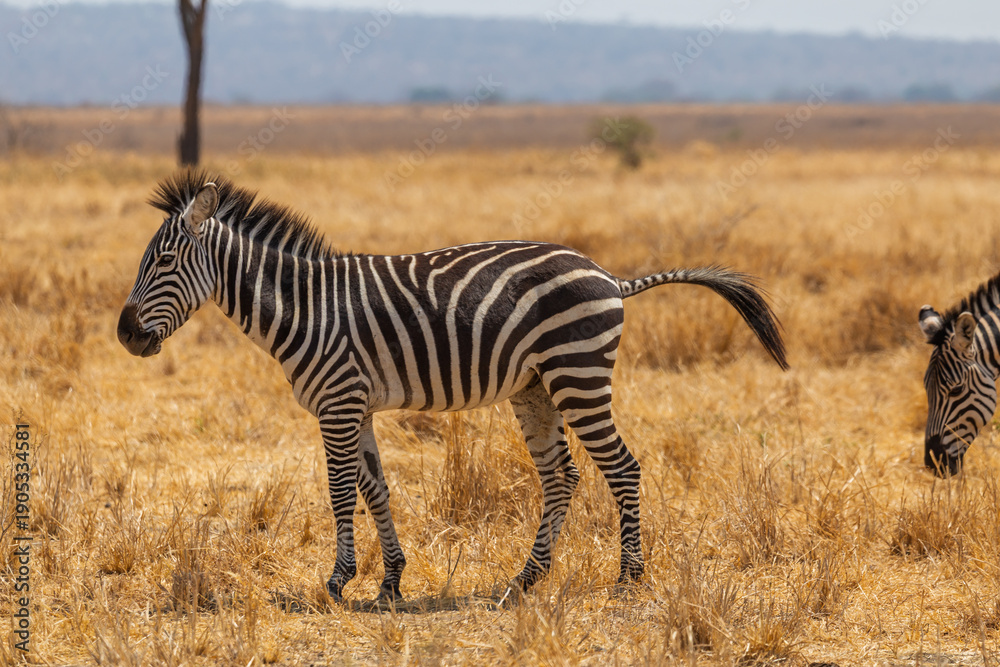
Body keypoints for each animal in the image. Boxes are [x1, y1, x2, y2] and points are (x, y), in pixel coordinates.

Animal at [118, 171, 788, 603]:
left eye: (165, 262)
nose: (125, 335)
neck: (307, 307)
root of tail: (608, 275)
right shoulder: (357, 407)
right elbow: (376, 489)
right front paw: (390, 580)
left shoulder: (338, 403)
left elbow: (339, 492)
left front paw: (338, 581)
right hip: (536, 387)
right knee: (562, 475)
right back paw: (526, 580)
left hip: (578, 374)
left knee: (622, 467)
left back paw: (628, 579)